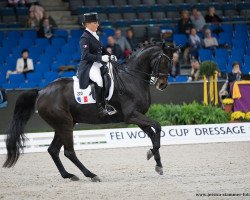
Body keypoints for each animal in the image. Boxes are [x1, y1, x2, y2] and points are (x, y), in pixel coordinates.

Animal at [2, 43, 175, 182]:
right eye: (164, 61)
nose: (162, 84)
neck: (132, 79)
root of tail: (41, 91)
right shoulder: (132, 115)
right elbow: (157, 126)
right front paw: (151, 154)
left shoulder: (138, 117)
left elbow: (153, 134)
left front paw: (157, 163)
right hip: (64, 124)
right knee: (69, 152)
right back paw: (91, 175)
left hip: (64, 124)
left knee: (53, 150)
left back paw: (69, 175)